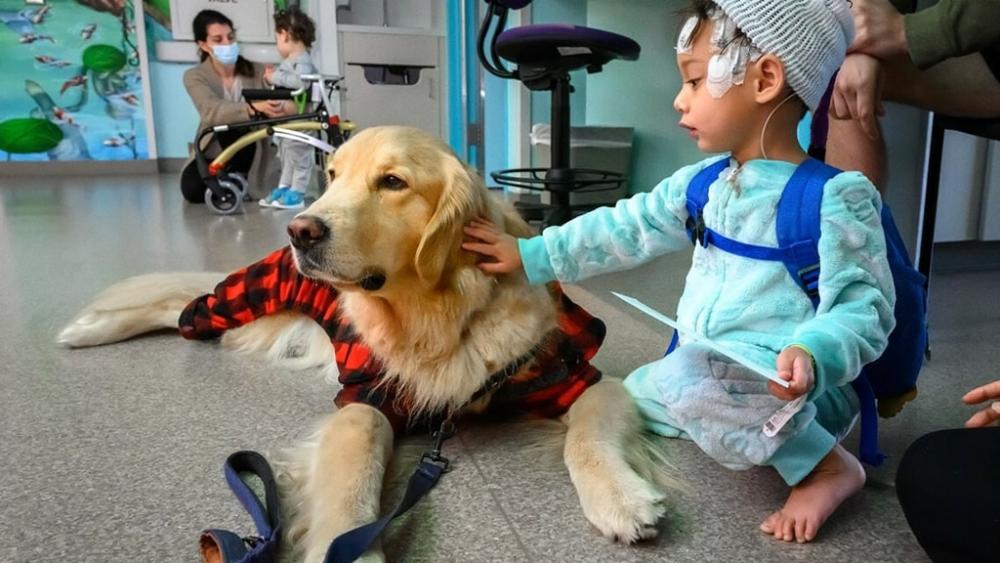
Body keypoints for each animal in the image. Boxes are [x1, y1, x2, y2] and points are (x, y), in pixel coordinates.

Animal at [56, 125, 672, 560]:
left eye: (392, 182)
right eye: (331, 175)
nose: (301, 229)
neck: (437, 315)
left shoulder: (574, 375)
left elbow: (587, 437)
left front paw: (621, 498)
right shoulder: (365, 402)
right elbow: (354, 480)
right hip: (245, 308)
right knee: (177, 304)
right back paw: (85, 331)